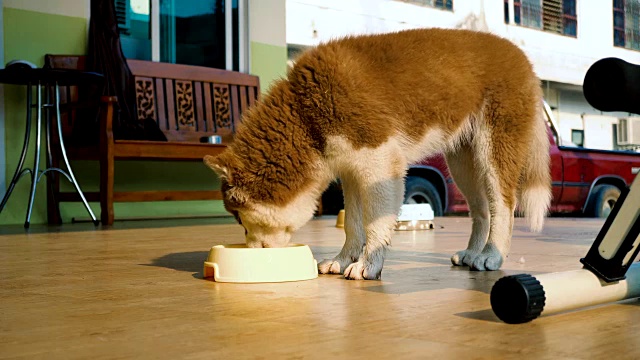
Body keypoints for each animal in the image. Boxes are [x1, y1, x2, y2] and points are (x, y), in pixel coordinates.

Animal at [204, 29, 552, 280]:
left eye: (241, 220)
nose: (252, 252)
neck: (305, 115)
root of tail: (522, 57)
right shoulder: (352, 172)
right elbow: (352, 224)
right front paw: (342, 260)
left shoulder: (381, 164)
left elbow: (375, 224)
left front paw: (368, 265)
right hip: (462, 164)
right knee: (481, 210)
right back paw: (472, 253)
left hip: (495, 152)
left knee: (503, 206)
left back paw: (492, 254)